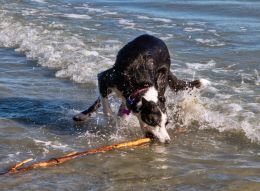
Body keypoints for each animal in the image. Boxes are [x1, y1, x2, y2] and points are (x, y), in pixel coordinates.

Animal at [73, 34, 205, 143]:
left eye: (166, 123)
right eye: (152, 121)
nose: (167, 141)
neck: (140, 85)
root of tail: (155, 38)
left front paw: (120, 122)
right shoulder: (104, 78)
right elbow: (106, 106)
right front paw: (111, 120)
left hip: (162, 77)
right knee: (101, 98)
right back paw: (82, 115)